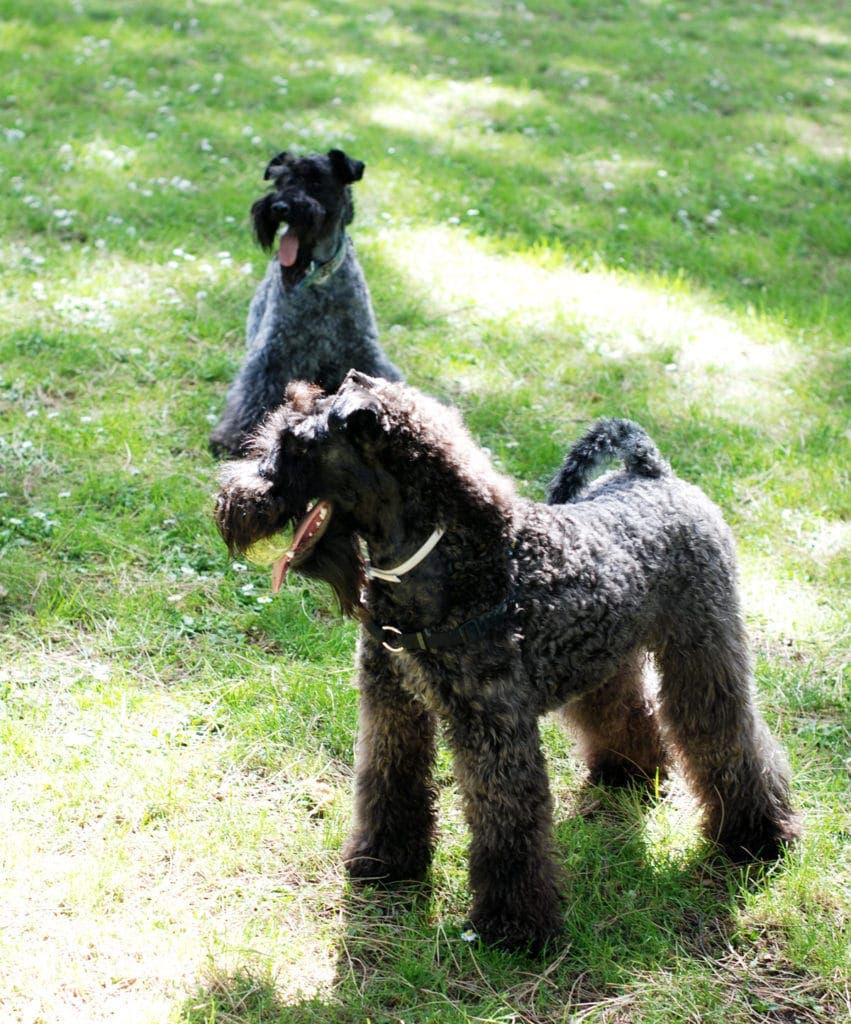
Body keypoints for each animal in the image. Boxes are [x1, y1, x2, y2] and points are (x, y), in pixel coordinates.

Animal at [208, 148, 403, 456]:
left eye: (316, 181)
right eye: (281, 180)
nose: (279, 207)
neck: (318, 280)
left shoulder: (362, 349)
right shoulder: (271, 353)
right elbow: (253, 391)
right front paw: (232, 436)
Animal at [213, 370, 798, 950]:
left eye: (298, 445)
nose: (227, 500)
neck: (458, 563)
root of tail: (652, 473)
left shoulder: (492, 729)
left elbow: (506, 821)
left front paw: (513, 925)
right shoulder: (391, 705)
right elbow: (387, 777)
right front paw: (385, 860)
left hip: (703, 652)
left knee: (728, 736)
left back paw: (757, 836)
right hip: (608, 657)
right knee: (623, 708)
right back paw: (627, 772)